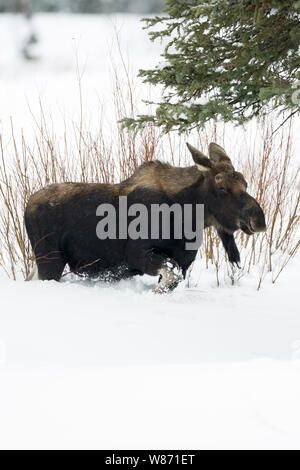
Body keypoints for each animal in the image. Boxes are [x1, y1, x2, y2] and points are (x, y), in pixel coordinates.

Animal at [24, 141, 266, 292]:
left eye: (245, 183)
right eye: (222, 187)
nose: (259, 220)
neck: (187, 216)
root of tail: (27, 205)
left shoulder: (183, 260)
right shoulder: (137, 253)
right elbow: (170, 278)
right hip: (49, 260)